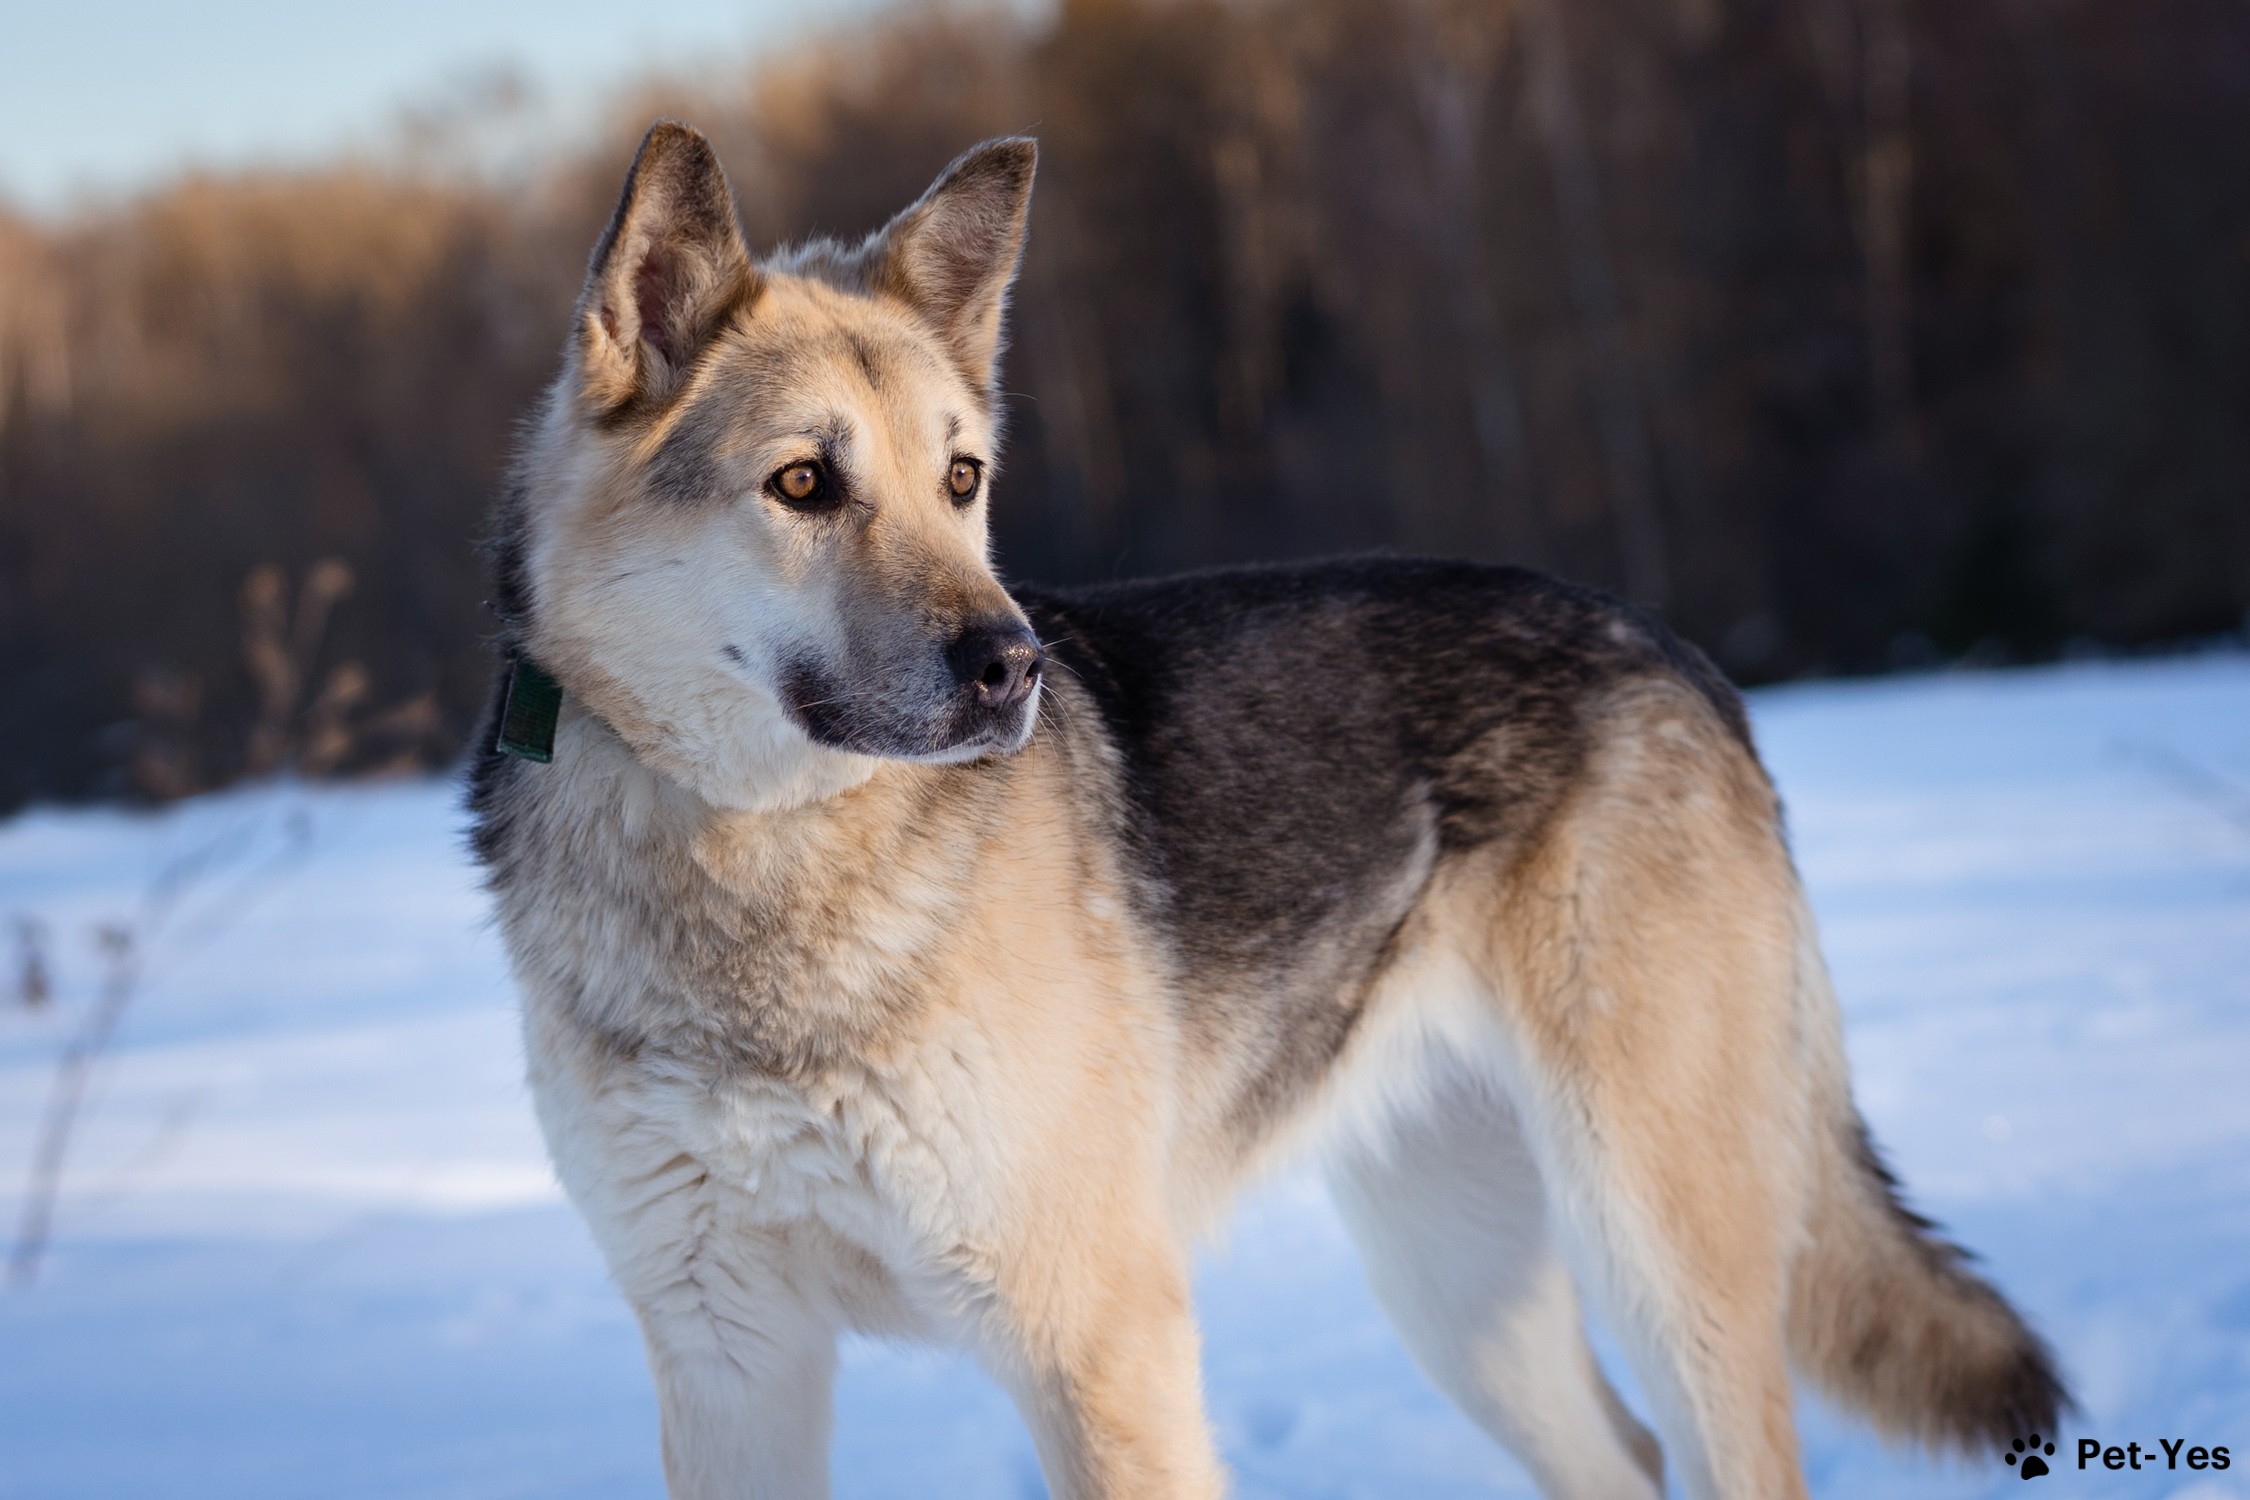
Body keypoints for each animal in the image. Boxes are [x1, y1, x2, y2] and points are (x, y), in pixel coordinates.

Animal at [465, 123, 2061, 1493]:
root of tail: (1675, 651)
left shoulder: (1096, 1342)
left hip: (1661, 1246)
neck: (751, 865)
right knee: (1620, 1458)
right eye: (802, 483)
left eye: (961, 479)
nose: (1014, 667)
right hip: (1455, 1283)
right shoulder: (730, 1356)